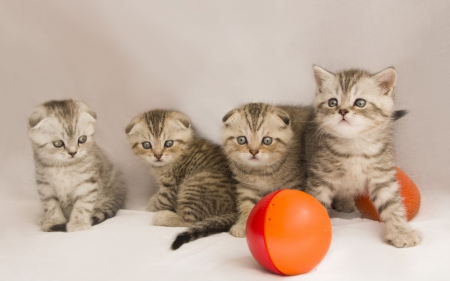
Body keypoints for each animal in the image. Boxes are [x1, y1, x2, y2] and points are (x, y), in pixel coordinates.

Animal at [27, 99, 126, 231]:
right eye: (58, 143)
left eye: (82, 139)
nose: (73, 152)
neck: (64, 167)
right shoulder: (44, 185)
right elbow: (51, 205)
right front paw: (53, 221)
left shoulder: (87, 183)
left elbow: (82, 206)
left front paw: (78, 224)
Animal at [125, 108, 239, 248]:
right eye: (146, 145)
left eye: (168, 143)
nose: (158, 155)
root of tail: (235, 211)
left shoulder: (170, 188)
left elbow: (159, 202)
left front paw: (144, 209)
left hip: (194, 184)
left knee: (191, 221)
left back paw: (163, 217)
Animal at [221, 103, 312, 236]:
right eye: (241, 140)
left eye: (267, 140)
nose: (253, 152)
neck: (260, 171)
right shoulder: (248, 187)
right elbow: (248, 204)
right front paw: (243, 225)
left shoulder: (293, 183)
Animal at [304, 65, 420, 247]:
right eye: (332, 102)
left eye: (360, 103)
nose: (342, 111)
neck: (354, 146)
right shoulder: (321, 176)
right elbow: (318, 202)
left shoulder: (382, 176)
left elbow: (392, 204)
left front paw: (401, 232)